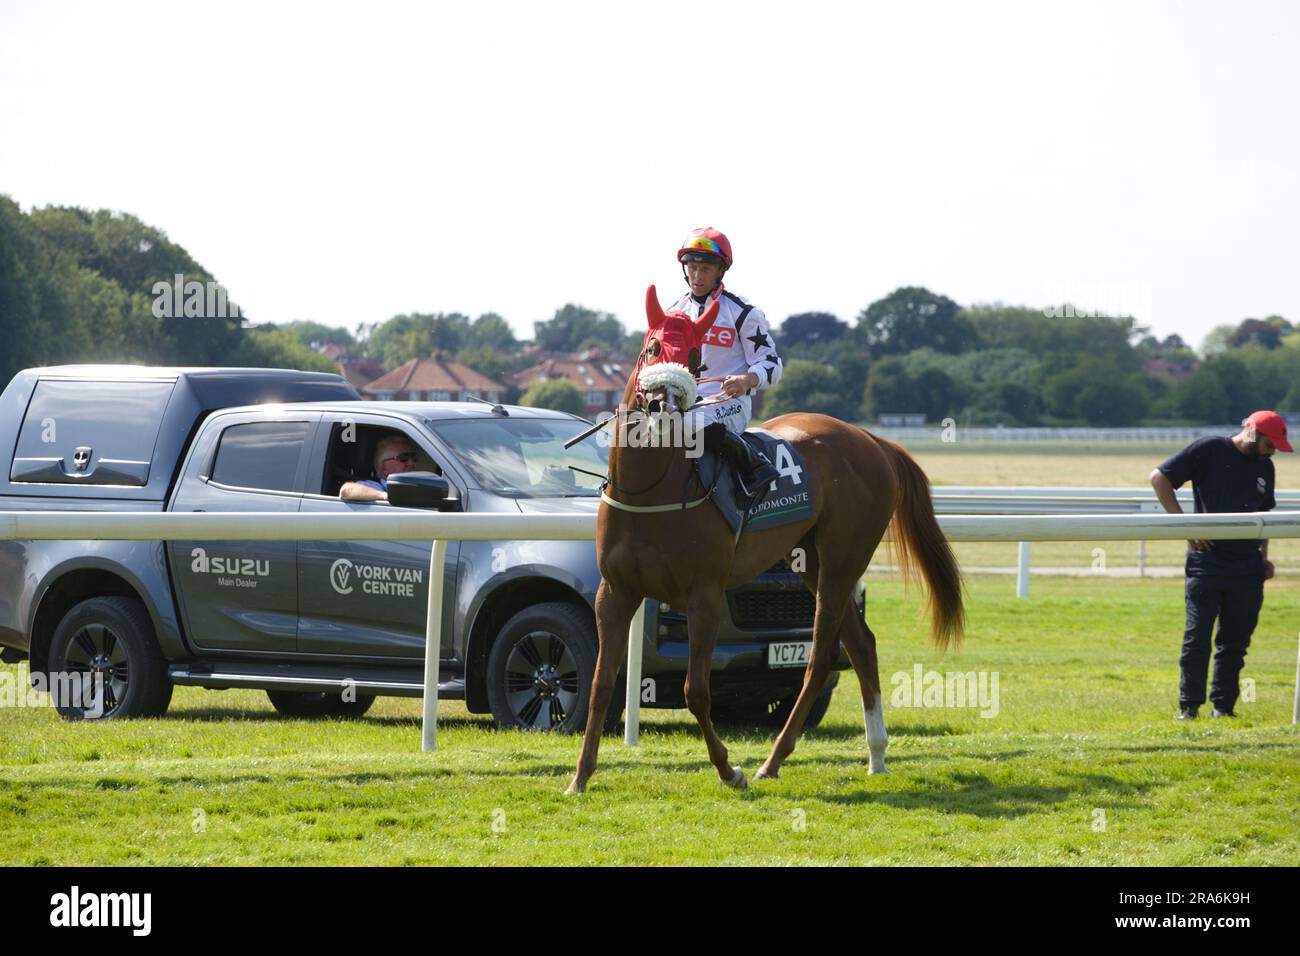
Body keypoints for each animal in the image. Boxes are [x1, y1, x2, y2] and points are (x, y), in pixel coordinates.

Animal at [561, 287, 967, 796]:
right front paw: (579, 777)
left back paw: (772, 760)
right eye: (653, 347)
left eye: (694, 358)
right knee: (862, 643)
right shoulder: (615, 593)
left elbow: (697, 691)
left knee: (821, 655)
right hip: (811, 561)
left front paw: (728, 769)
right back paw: (875, 756)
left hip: (842, 559)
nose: (663, 408)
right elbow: (599, 685)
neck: (652, 490)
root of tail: (871, 439)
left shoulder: (704, 595)